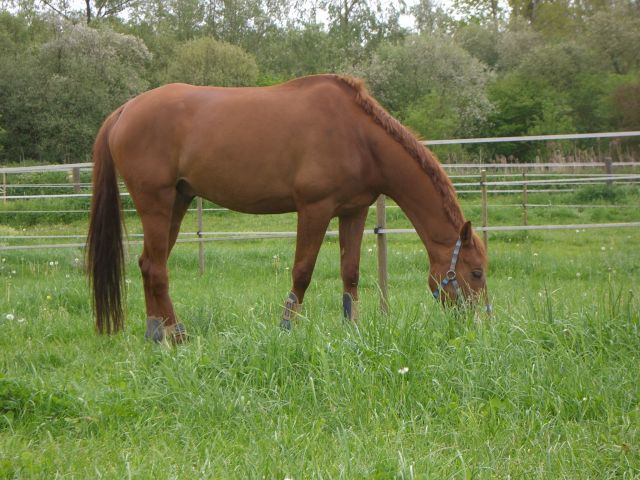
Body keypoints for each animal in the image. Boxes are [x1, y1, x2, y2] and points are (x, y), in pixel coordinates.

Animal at [86, 74, 490, 342]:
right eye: (476, 272)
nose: (481, 323)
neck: (358, 136)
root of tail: (124, 111)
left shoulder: (353, 211)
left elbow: (350, 273)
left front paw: (351, 330)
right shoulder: (314, 208)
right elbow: (302, 272)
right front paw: (286, 328)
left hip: (178, 202)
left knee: (148, 264)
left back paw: (157, 333)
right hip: (156, 202)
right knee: (157, 269)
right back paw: (178, 335)